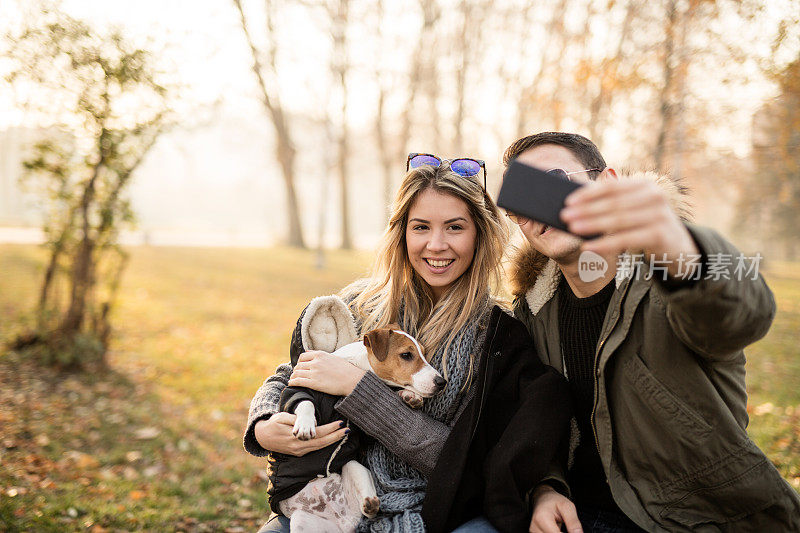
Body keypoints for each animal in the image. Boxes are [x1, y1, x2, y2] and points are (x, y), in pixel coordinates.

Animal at [272, 324, 446, 532]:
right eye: (406, 355)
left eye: (424, 353)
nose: (442, 382)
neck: (355, 364)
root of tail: (344, 522)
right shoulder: (298, 390)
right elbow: (304, 401)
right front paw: (306, 424)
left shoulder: (361, 429)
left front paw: (410, 396)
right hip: (301, 521)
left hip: (354, 466)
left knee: (368, 503)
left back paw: (370, 503)